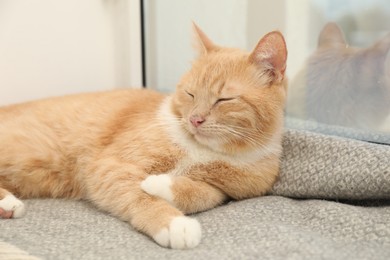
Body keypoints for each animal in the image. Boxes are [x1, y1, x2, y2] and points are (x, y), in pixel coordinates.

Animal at [0, 24, 286, 250]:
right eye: (190, 93)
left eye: (224, 99)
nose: (195, 119)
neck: (204, 151)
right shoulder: (109, 166)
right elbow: (138, 194)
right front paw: (173, 223)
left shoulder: (232, 191)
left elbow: (204, 193)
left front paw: (160, 183)